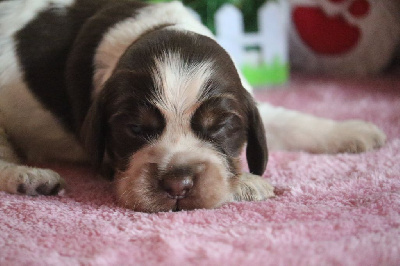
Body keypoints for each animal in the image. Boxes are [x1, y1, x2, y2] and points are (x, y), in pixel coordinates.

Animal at [0, 0, 386, 212]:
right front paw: (248, 183)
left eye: (220, 126)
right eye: (135, 128)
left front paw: (355, 131)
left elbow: (287, 121)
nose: (177, 185)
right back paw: (31, 177)